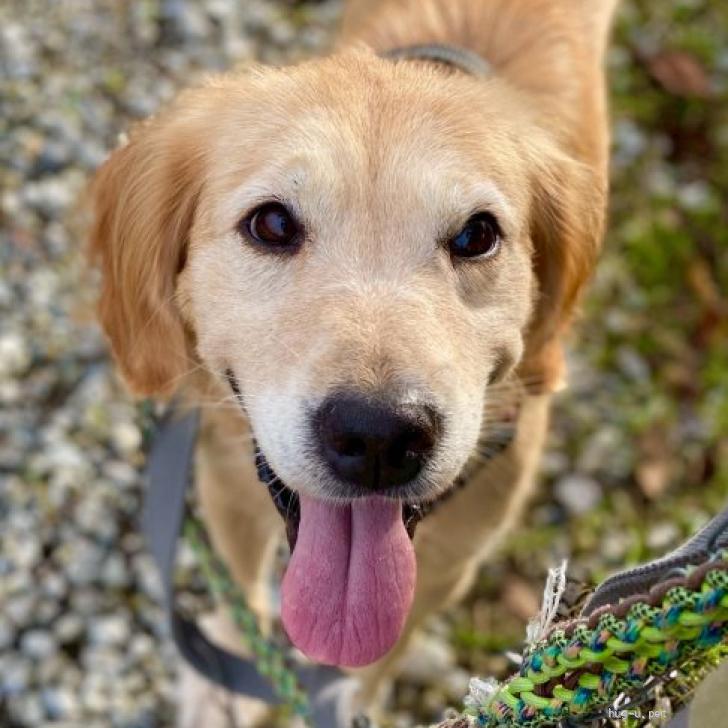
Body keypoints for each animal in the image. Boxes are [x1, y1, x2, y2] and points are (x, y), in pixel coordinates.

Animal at [88, 0, 619, 723]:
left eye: (476, 234)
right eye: (272, 224)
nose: (379, 438)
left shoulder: (453, 561)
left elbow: (380, 658)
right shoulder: (224, 476)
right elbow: (241, 587)